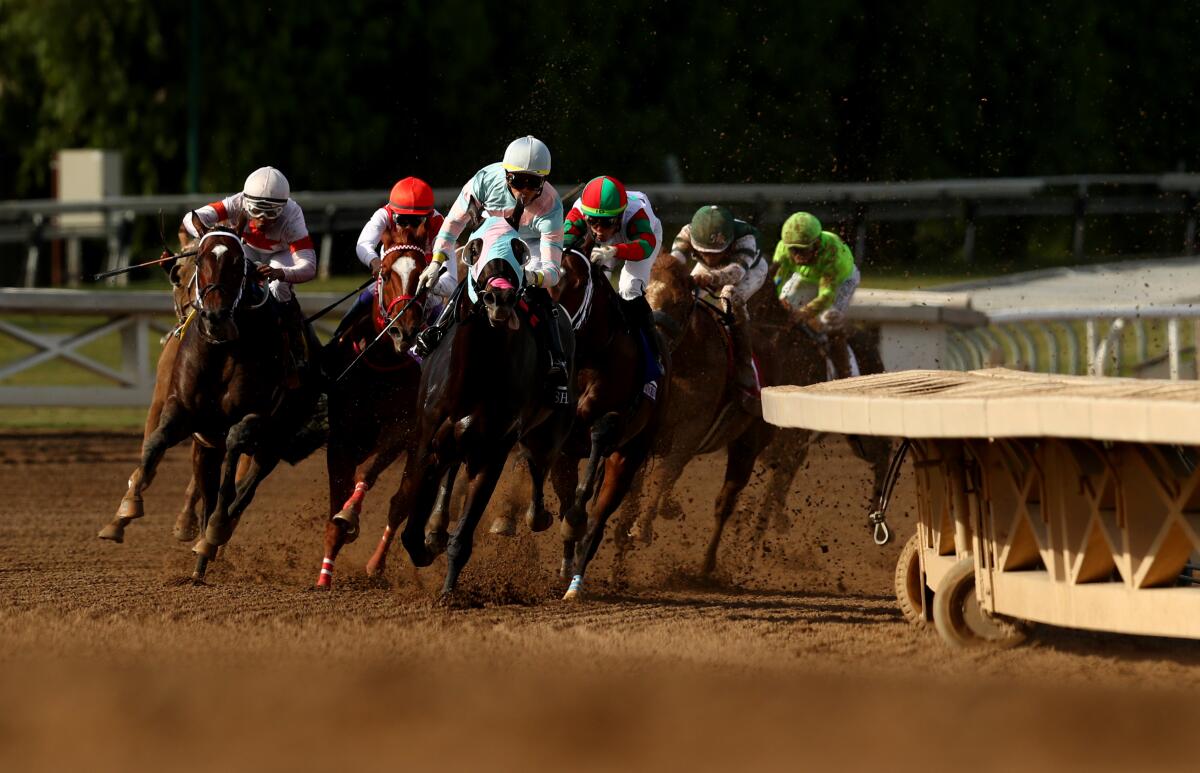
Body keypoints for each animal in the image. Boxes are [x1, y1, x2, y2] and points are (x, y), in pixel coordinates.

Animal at [98, 211, 321, 580]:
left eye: (238, 262)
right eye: (198, 262)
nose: (214, 317)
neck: (221, 351)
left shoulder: (253, 417)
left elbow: (233, 453)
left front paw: (214, 530)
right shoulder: (182, 413)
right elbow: (155, 444)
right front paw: (123, 513)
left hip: (275, 441)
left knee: (243, 491)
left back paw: (213, 539)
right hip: (209, 445)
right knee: (210, 487)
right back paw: (200, 560)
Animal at [316, 220, 434, 588]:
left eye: (423, 276)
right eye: (385, 272)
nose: (404, 332)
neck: (380, 363)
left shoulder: (403, 429)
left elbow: (366, 475)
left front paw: (350, 515)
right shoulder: (341, 438)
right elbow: (334, 507)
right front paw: (324, 574)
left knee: (400, 502)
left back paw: (376, 564)